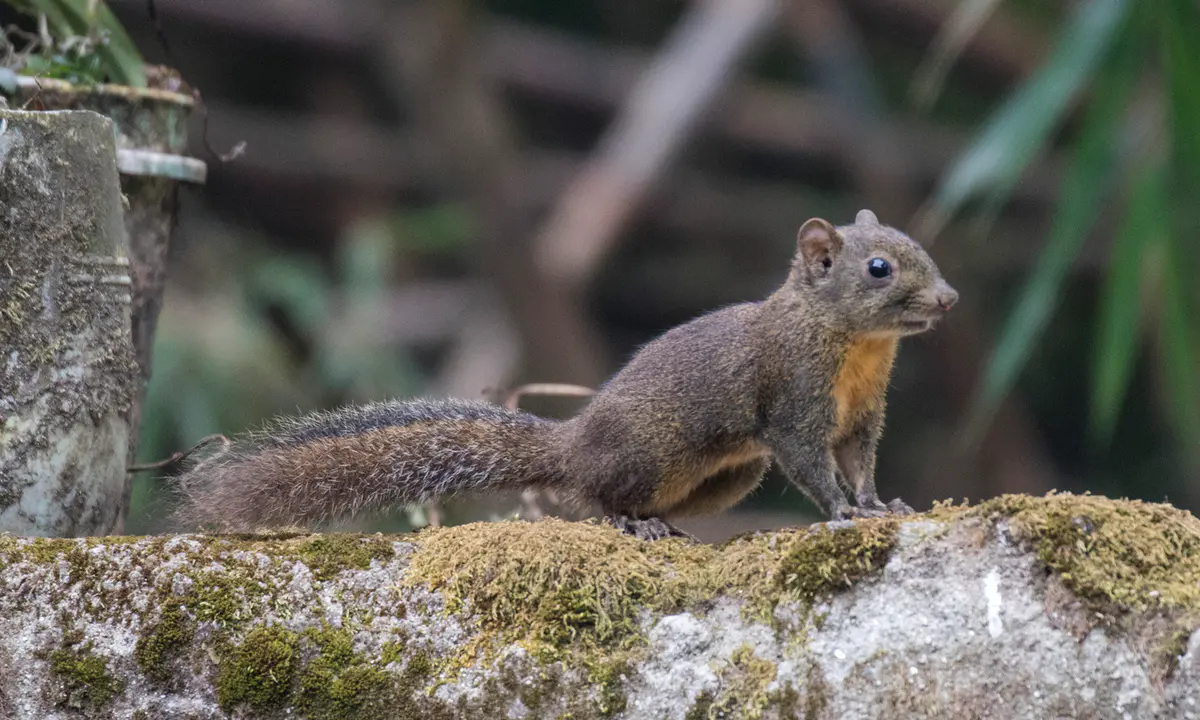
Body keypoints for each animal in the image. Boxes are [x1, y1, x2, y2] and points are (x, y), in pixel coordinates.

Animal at [173, 209, 957, 541]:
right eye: (878, 268)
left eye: (916, 245)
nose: (949, 299)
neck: (857, 349)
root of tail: (573, 442)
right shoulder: (794, 399)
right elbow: (813, 464)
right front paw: (843, 513)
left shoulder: (862, 414)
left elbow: (860, 462)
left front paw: (880, 504)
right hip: (652, 454)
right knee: (595, 498)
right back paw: (632, 524)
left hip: (730, 474)